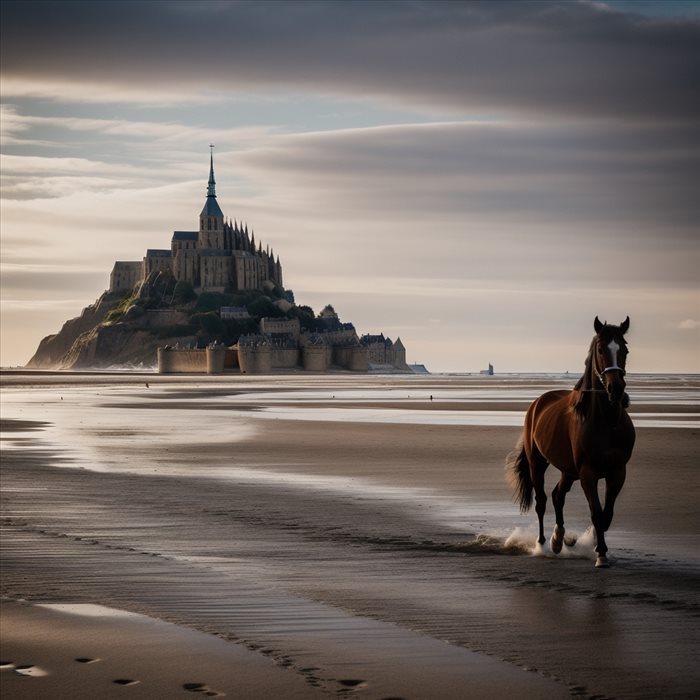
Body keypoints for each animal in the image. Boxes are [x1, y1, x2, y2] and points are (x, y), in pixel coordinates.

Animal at [506, 320, 636, 568]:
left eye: (624, 350)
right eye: (601, 350)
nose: (616, 389)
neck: (607, 422)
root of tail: (538, 403)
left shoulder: (618, 471)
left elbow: (607, 514)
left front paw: (592, 543)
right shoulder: (588, 473)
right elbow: (596, 512)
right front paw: (601, 554)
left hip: (569, 471)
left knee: (558, 496)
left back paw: (560, 540)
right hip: (538, 463)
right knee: (542, 501)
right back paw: (543, 543)